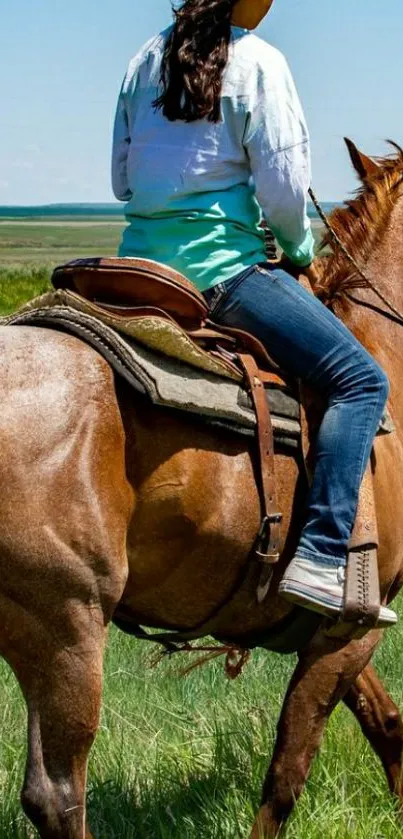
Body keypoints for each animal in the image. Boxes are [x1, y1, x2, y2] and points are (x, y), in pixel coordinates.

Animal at [0, 139, 403, 839]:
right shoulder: (353, 627)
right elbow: (287, 773)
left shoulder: (331, 629)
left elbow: (386, 723)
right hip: (66, 627)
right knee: (58, 794)